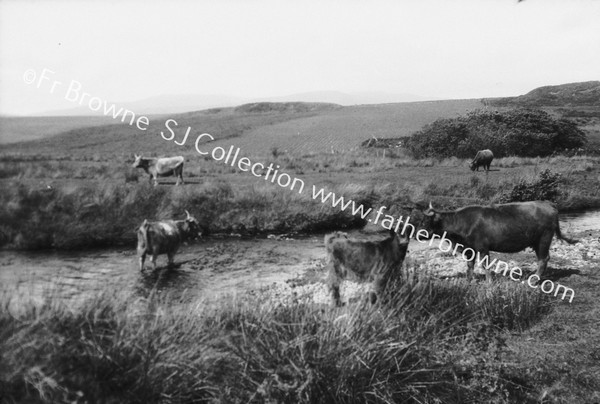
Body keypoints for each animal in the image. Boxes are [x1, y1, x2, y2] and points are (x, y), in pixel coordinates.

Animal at [420, 200, 580, 280]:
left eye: (426, 221)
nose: (419, 234)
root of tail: (548, 204)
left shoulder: (483, 248)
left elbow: (486, 267)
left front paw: (488, 283)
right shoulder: (469, 249)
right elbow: (470, 266)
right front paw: (469, 281)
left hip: (544, 239)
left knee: (543, 259)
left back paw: (534, 279)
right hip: (537, 241)